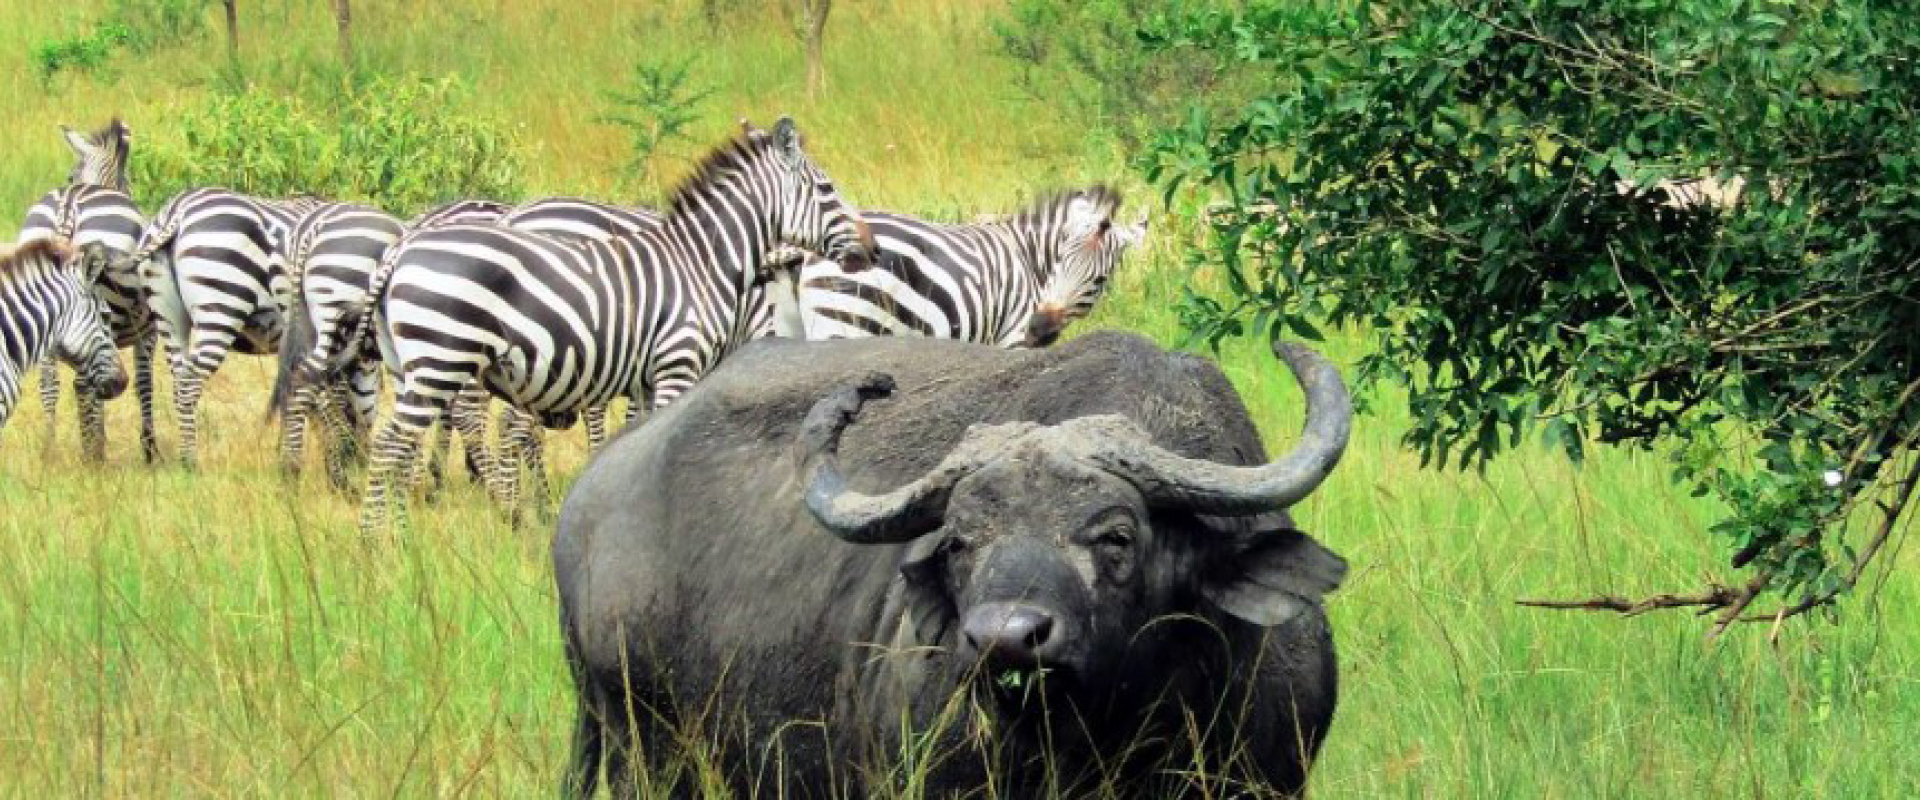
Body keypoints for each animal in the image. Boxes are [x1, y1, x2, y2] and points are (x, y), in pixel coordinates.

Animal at [131, 187, 325, 467]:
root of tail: (178, 209)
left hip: (167, 316)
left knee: (178, 381)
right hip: (221, 305)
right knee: (189, 383)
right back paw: (191, 463)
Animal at [354, 117, 875, 533]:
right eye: (827, 190)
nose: (871, 248)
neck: (701, 263)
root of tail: (402, 247)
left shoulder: (644, 379)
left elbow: (635, 443)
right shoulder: (676, 365)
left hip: (410, 365)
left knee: (403, 446)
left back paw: (406, 534)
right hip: (442, 358)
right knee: (393, 446)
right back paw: (381, 544)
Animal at [759, 185, 1147, 348]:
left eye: (1099, 279)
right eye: (1059, 263)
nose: (1038, 328)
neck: (1031, 260)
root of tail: (808, 251)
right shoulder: (1011, 340)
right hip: (845, 324)